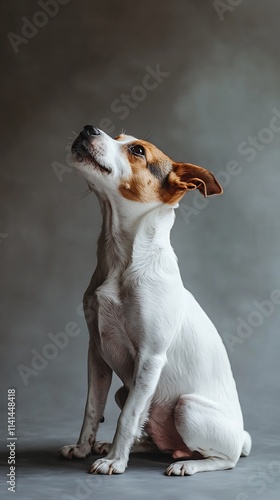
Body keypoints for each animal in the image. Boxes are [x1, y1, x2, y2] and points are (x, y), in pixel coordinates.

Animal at [59, 125, 252, 476]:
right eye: (117, 138)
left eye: (137, 151)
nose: (88, 128)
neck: (122, 260)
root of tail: (241, 434)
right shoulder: (97, 353)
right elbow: (92, 408)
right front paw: (83, 448)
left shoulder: (150, 358)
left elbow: (127, 418)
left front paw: (114, 462)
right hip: (124, 390)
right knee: (151, 434)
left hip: (187, 408)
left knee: (225, 458)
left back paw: (187, 464)